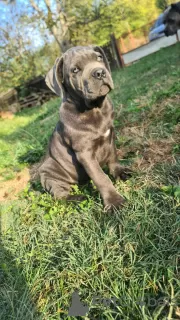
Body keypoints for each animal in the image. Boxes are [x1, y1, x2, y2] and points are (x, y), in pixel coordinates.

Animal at [38, 44, 131, 210]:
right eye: (75, 70)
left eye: (99, 58)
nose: (99, 72)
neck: (95, 108)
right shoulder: (85, 153)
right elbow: (101, 177)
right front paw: (114, 201)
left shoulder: (110, 136)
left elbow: (113, 156)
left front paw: (119, 172)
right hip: (49, 174)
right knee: (59, 196)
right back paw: (77, 199)